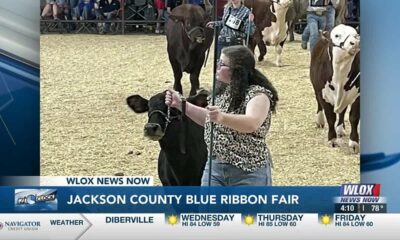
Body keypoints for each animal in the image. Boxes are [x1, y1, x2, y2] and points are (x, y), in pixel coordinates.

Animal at [308, 24, 360, 152]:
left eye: (356, 34)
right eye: (337, 35)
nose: (355, 43)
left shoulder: (357, 94)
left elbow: (354, 117)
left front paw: (354, 143)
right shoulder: (323, 94)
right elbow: (330, 117)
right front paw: (332, 139)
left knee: (342, 111)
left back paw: (340, 129)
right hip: (315, 89)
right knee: (319, 104)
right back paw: (320, 121)